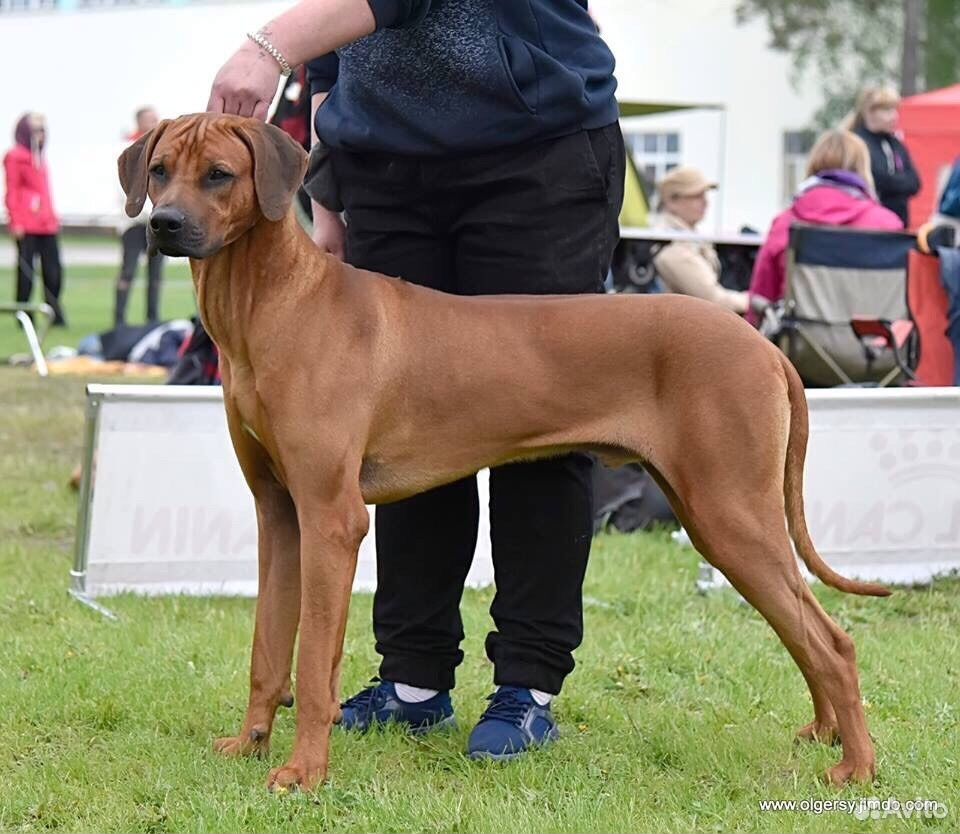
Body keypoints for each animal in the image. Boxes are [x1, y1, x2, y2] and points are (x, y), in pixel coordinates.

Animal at [120, 114, 892, 788]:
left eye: (219, 175)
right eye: (159, 172)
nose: (164, 224)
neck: (273, 304)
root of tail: (764, 345)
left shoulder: (331, 519)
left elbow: (314, 666)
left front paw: (304, 772)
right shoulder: (281, 515)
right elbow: (268, 650)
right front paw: (250, 742)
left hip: (729, 514)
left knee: (834, 641)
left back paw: (856, 767)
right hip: (719, 519)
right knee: (805, 629)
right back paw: (824, 733)